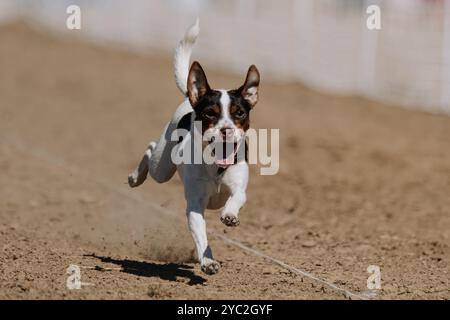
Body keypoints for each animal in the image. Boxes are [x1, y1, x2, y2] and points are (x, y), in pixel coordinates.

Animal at [127, 19, 260, 276]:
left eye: (239, 113)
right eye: (210, 113)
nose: (226, 129)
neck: (216, 166)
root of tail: (190, 99)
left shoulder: (239, 187)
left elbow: (236, 199)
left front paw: (229, 215)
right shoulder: (195, 205)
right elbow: (201, 235)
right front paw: (207, 261)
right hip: (162, 167)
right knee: (150, 150)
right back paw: (135, 178)